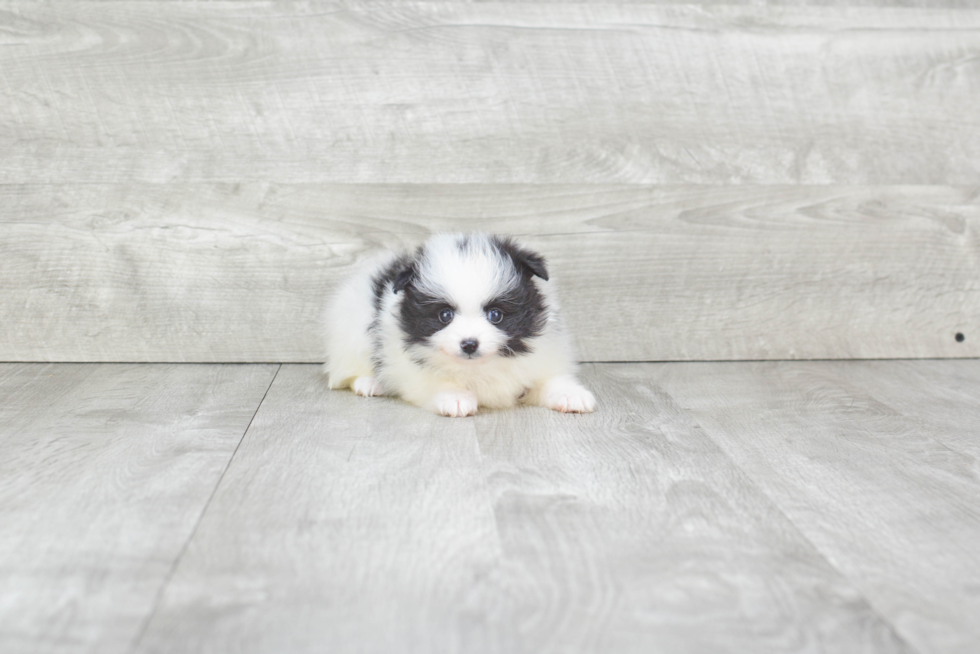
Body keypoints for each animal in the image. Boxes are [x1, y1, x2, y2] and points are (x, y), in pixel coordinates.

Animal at [326, 233, 592, 418]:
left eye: (495, 315)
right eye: (445, 316)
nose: (469, 344)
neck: (478, 367)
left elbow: (548, 379)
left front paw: (571, 394)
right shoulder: (410, 369)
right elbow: (433, 380)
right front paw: (455, 397)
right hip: (352, 332)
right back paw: (369, 382)